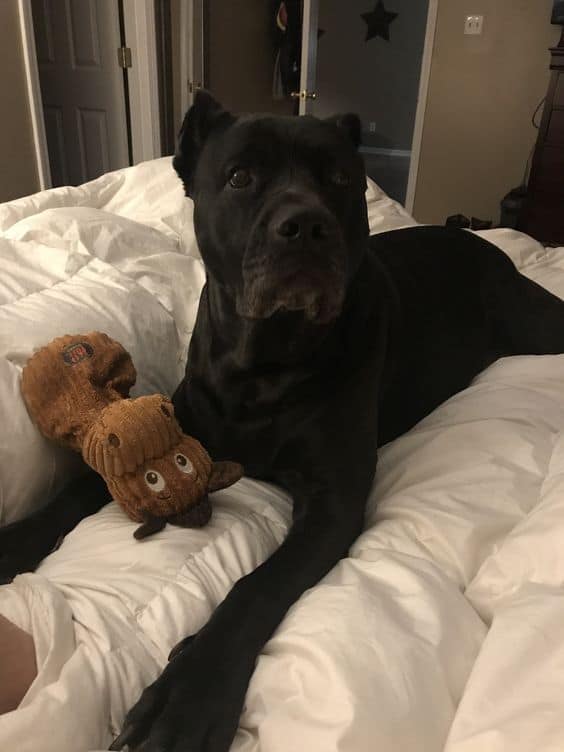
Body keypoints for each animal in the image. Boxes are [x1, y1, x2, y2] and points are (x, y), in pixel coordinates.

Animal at [1, 89, 564, 752]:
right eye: (240, 177)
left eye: (341, 179)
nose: (306, 225)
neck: (264, 361)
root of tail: (489, 245)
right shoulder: (176, 424)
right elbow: (79, 486)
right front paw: (12, 543)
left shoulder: (332, 500)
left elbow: (257, 586)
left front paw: (188, 695)